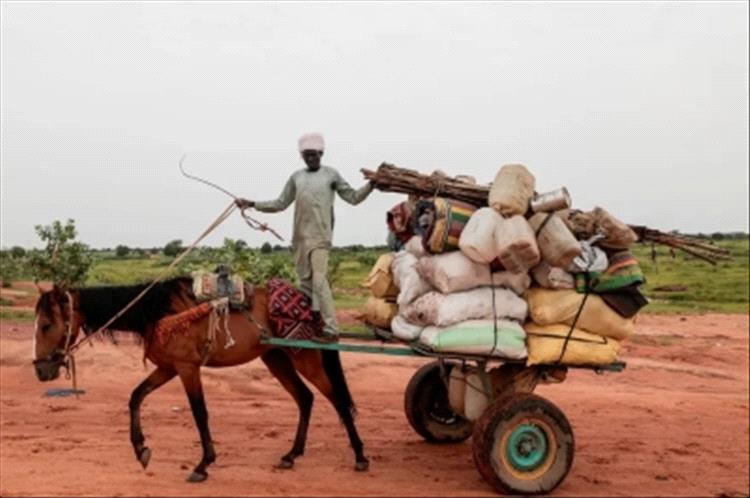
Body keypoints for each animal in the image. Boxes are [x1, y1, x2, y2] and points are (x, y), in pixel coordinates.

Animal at [33, 278, 372, 480]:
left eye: (47, 325)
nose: (40, 370)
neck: (159, 312)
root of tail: (309, 301)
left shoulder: (187, 368)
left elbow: (199, 413)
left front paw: (203, 464)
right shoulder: (168, 367)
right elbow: (136, 396)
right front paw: (141, 449)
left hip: (306, 357)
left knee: (337, 400)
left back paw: (360, 456)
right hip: (276, 358)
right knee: (305, 398)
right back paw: (291, 455)